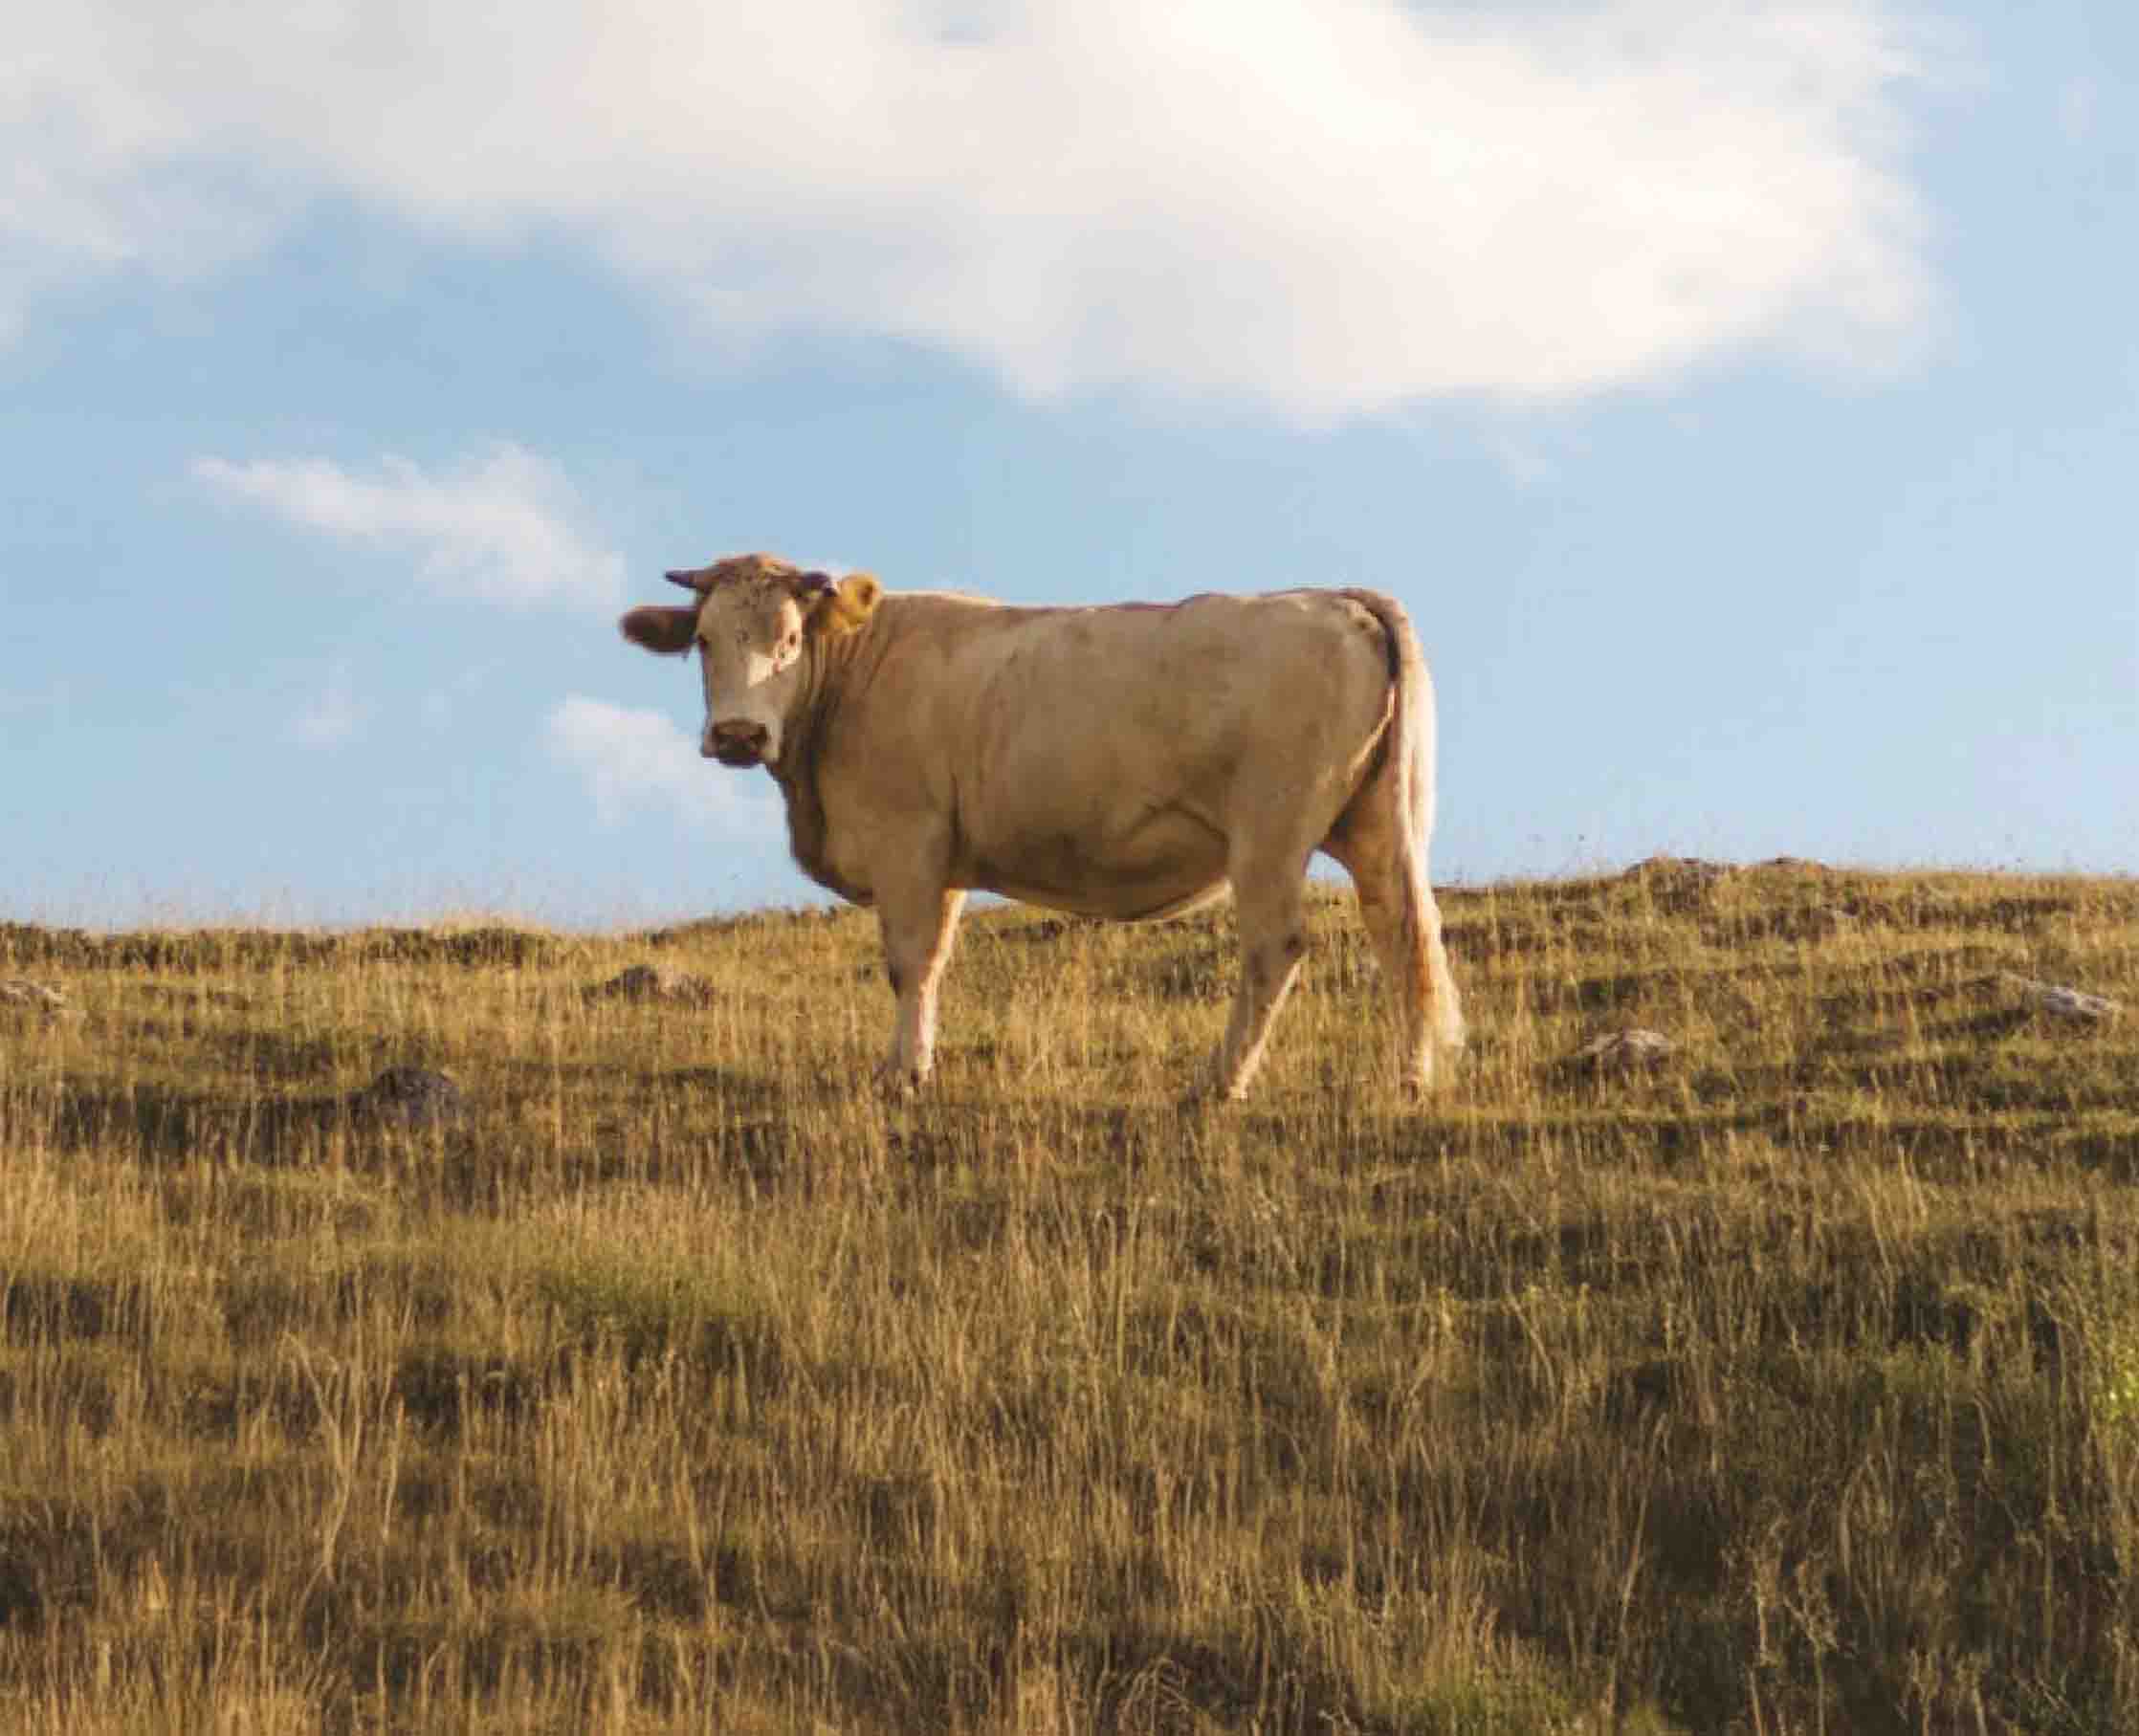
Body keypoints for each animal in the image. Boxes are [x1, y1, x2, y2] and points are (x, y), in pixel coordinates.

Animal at [619, 553, 1463, 1101]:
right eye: (703, 640)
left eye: (790, 640)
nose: (738, 733)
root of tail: (1336, 598)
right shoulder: (944, 856)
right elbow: (934, 961)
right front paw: (917, 1064)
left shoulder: (907, 840)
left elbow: (908, 961)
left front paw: (901, 1075)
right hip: (1380, 824)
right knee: (1405, 932)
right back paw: (1410, 1076)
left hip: (1270, 830)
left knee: (1275, 949)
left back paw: (1217, 1082)